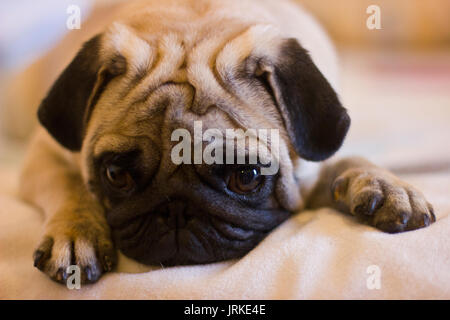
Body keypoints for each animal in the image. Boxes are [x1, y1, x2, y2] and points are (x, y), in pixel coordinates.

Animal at [18, 0, 436, 284]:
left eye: (246, 177)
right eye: (116, 175)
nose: (176, 210)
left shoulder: (309, 170)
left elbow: (346, 162)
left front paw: (385, 186)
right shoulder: (44, 153)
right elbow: (69, 183)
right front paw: (77, 232)